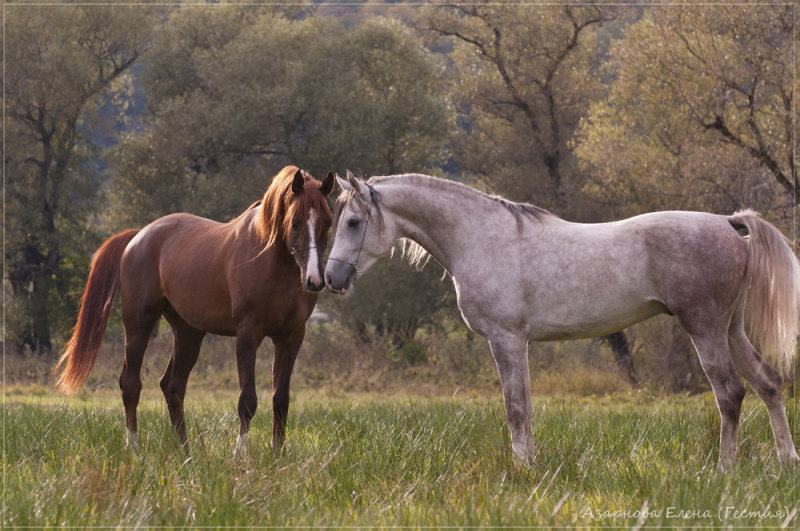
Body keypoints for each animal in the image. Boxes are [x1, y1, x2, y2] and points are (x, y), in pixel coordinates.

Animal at [54, 165, 334, 458]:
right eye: (296, 221)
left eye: (327, 222)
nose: (314, 280)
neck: (270, 260)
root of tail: (138, 237)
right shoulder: (248, 335)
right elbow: (247, 400)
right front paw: (240, 455)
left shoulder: (291, 338)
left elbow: (280, 400)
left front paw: (277, 456)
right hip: (138, 325)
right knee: (130, 384)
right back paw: (134, 447)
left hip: (188, 333)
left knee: (172, 387)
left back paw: (185, 451)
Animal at [322, 172, 796, 472]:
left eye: (353, 222)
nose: (331, 279)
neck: (482, 237)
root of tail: (729, 224)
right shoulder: (519, 344)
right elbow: (526, 406)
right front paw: (530, 464)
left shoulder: (506, 340)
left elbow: (515, 407)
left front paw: (520, 469)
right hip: (731, 330)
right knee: (768, 383)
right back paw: (786, 461)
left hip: (705, 329)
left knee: (730, 394)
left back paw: (724, 469)